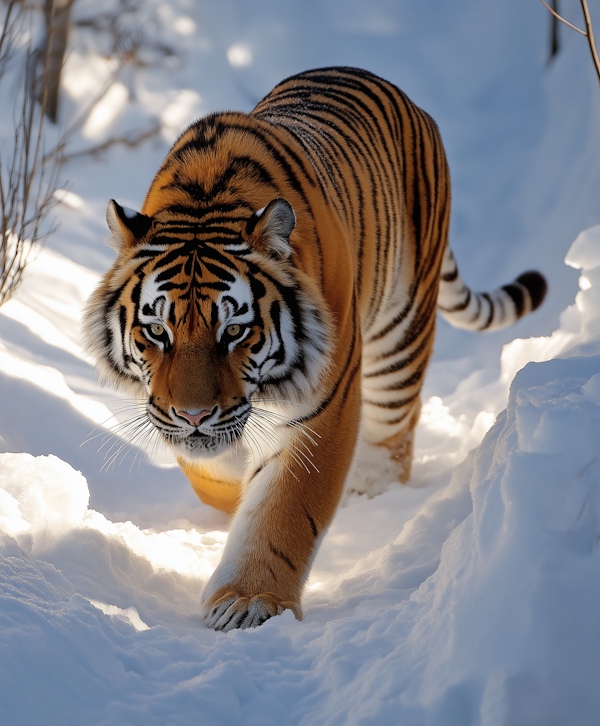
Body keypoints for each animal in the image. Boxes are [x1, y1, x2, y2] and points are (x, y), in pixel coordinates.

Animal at [82, 67, 548, 632]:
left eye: (233, 331)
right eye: (157, 332)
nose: (194, 415)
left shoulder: (323, 401)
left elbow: (284, 507)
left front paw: (250, 600)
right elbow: (213, 467)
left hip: (401, 336)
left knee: (393, 436)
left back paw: (368, 495)